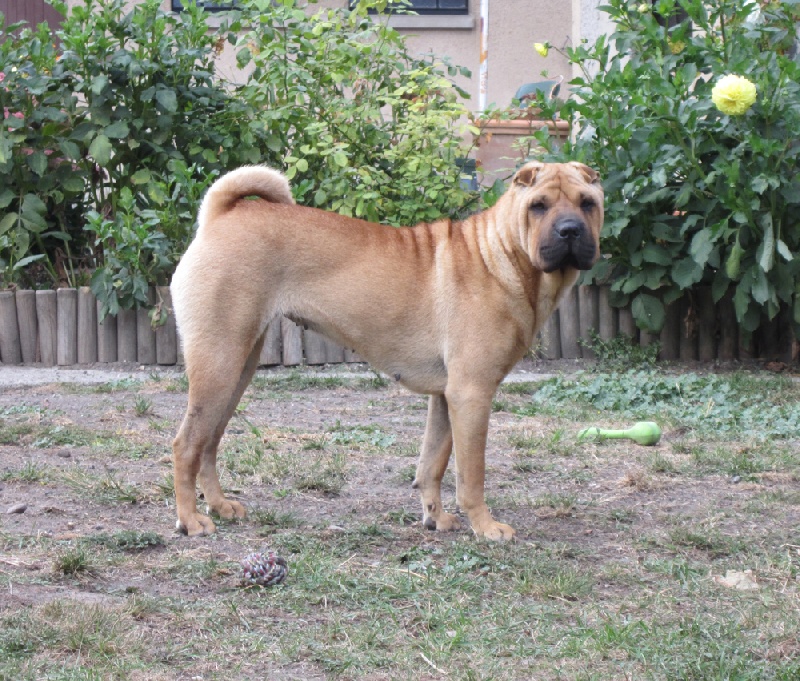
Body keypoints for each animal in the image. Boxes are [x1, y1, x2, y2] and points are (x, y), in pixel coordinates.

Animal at [170, 160, 603, 540]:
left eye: (587, 203)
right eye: (538, 206)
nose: (569, 231)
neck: (502, 254)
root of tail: (220, 216)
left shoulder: (446, 397)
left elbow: (432, 463)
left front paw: (435, 518)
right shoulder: (472, 393)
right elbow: (471, 474)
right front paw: (485, 526)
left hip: (237, 369)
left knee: (209, 443)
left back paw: (220, 506)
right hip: (219, 364)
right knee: (186, 444)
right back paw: (191, 519)